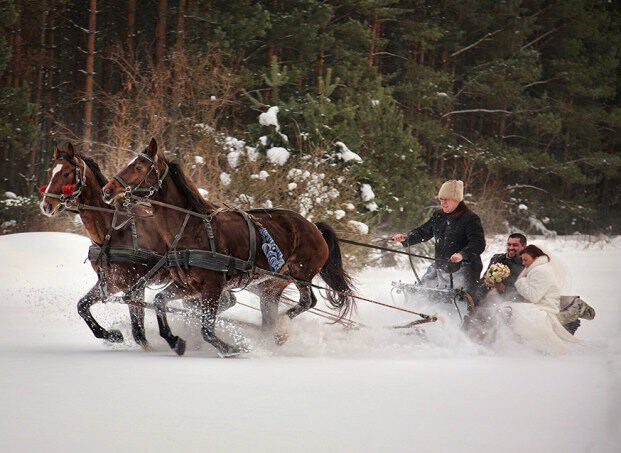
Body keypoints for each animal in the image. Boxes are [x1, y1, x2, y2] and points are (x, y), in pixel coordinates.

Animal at [101, 138, 354, 356]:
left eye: (139, 166)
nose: (107, 190)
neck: (192, 227)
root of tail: (313, 226)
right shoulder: (188, 285)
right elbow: (160, 301)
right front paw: (175, 341)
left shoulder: (213, 286)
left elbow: (206, 329)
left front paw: (232, 349)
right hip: (271, 286)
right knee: (272, 314)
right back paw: (271, 335)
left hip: (301, 274)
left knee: (307, 301)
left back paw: (280, 330)